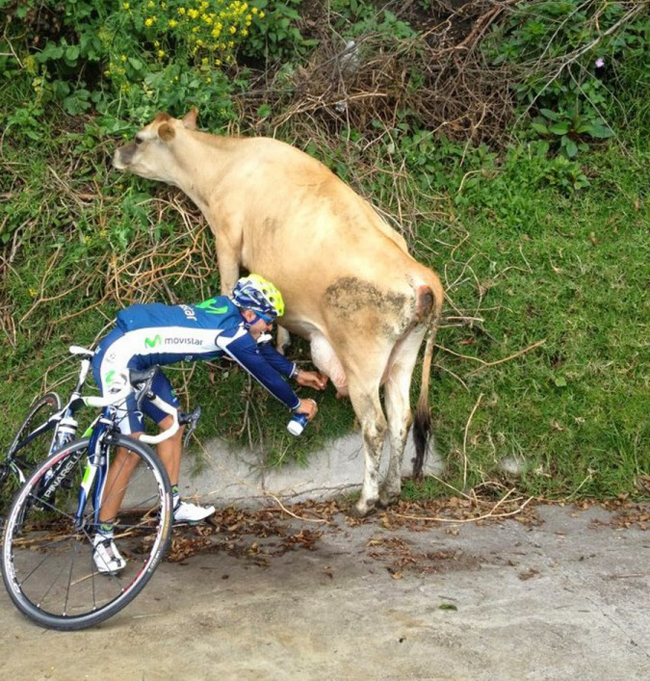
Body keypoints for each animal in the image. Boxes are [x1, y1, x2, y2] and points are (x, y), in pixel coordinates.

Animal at [114, 110, 442, 516]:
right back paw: (391, 491)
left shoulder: (226, 237)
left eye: (139, 138)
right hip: (403, 357)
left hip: (363, 362)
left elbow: (227, 286)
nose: (115, 153)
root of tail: (420, 275)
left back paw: (367, 499)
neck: (224, 165)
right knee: (401, 420)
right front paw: (281, 343)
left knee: (375, 426)